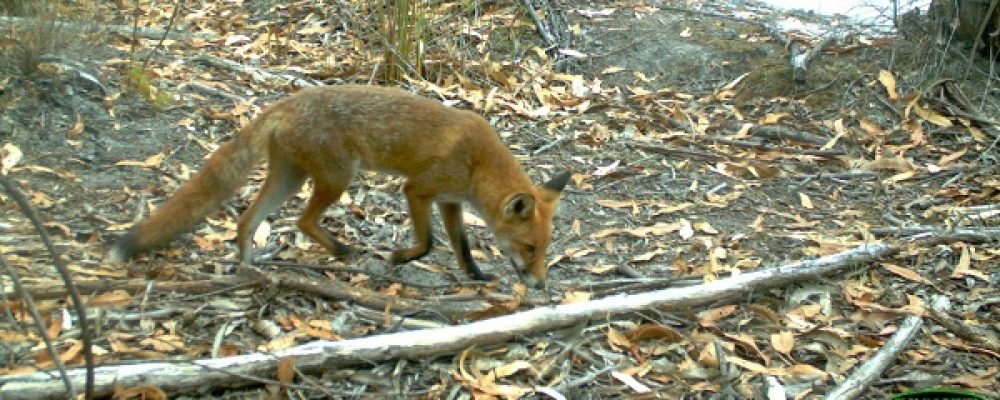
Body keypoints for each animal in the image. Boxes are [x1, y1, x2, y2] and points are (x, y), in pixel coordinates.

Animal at [107, 85, 570, 288]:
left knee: (247, 219)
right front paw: (399, 258)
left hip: (290, 178)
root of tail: (287, 101)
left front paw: (475, 276)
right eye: (531, 248)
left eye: (546, 248)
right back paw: (340, 251)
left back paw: (249, 267)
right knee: (301, 221)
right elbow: (428, 244)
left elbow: (462, 246)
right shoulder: (417, 191)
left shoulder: (449, 201)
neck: (477, 164)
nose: (541, 285)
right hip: (337, 178)